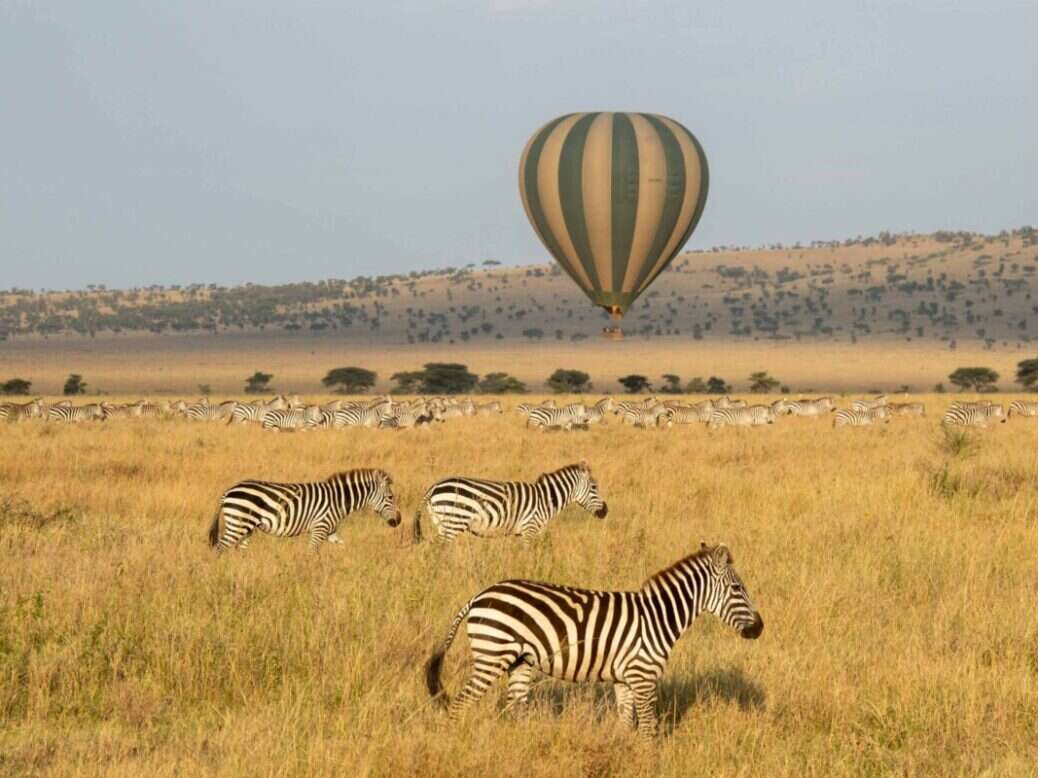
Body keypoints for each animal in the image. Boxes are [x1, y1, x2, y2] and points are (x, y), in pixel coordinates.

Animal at [208, 468, 402, 556]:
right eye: (390, 497)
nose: (398, 521)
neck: (338, 500)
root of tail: (228, 492)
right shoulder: (319, 528)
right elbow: (312, 553)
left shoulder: (330, 531)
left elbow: (343, 545)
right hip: (238, 524)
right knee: (219, 548)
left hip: (246, 528)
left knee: (238, 549)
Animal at [413, 462, 606, 543]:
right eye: (594, 487)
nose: (605, 512)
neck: (546, 499)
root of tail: (433, 487)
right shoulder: (530, 529)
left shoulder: (521, 533)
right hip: (454, 521)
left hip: (442, 522)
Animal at [423, 543, 763, 738]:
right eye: (737, 588)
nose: (759, 628)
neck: (657, 617)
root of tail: (478, 596)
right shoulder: (643, 676)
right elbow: (649, 729)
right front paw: (649, 761)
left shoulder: (624, 679)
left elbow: (626, 724)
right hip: (492, 655)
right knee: (460, 705)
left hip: (519, 662)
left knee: (514, 709)